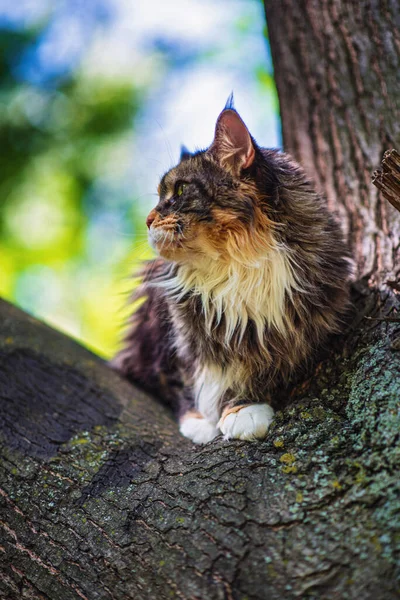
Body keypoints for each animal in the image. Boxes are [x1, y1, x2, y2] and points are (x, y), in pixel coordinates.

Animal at [111, 98, 350, 442]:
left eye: (180, 191)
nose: (147, 219)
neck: (235, 267)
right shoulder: (171, 336)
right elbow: (190, 377)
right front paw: (200, 420)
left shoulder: (297, 333)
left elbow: (259, 371)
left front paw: (241, 409)